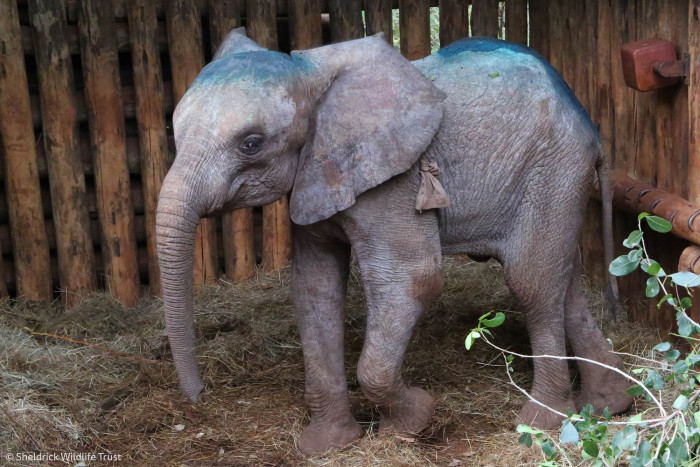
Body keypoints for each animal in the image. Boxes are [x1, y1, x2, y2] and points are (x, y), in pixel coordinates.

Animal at [156, 28, 633, 457]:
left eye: (251, 144)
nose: (199, 397)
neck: (310, 71)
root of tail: (591, 127)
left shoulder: (392, 182)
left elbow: (411, 280)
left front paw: (414, 421)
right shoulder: (316, 176)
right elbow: (314, 287)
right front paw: (327, 445)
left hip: (553, 169)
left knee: (531, 281)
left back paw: (541, 421)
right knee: (563, 281)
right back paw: (608, 406)